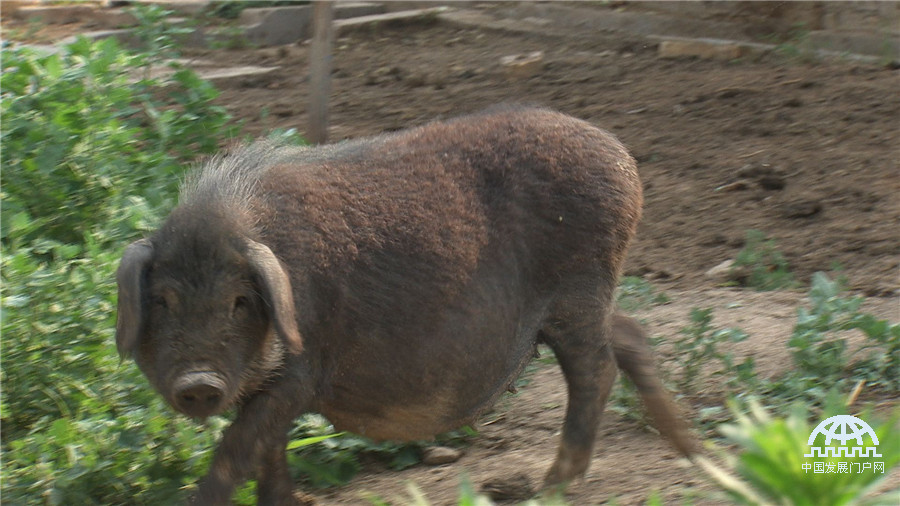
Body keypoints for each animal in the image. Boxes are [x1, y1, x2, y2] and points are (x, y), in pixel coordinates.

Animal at [118, 105, 696, 504]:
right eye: (163, 300)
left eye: (239, 300)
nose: (198, 382)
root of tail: (620, 156)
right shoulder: (269, 386)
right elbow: (268, 451)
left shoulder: (300, 371)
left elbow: (237, 449)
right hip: (590, 300)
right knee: (631, 336)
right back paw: (692, 453)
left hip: (578, 290)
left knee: (597, 371)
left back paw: (548, 489)